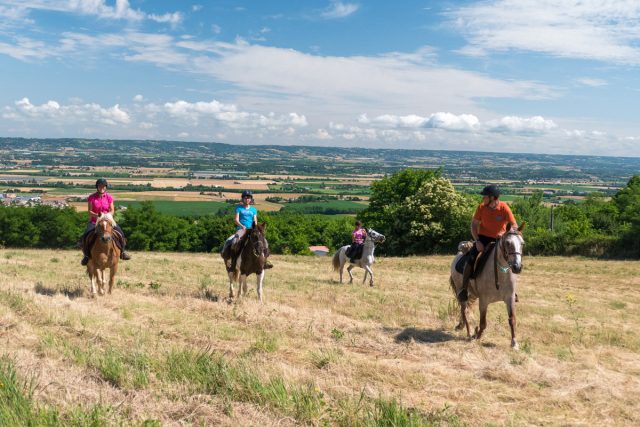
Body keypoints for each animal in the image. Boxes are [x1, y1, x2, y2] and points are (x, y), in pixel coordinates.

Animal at [450, 224, 524, 352]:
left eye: (522, 243)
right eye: (508, 243)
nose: (517, 267)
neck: (500, 274)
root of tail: (459, 253)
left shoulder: (509, 299)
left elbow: (512, 320)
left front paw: (514, 343)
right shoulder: (484, 301)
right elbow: (483, 322)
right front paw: (477, 336)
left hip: (473, 294)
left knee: (466, 310)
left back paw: (462, 326)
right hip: (461, 291)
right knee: (464, 311)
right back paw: (469, 332)